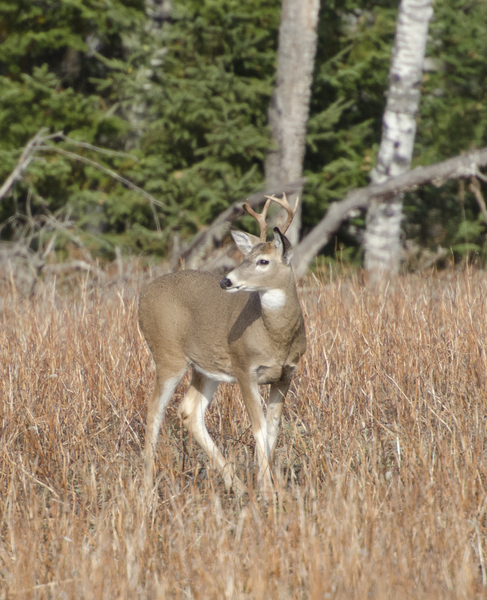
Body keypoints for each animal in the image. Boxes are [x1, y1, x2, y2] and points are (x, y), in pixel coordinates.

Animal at [138, 195, 304, 494]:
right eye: (245, 257)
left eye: (263, 261)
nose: (227, 280)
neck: (276, 338)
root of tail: (141, 296)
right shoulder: (244, 367)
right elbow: (258, 427)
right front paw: (266, 490)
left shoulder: (286, 374)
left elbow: (272, 429)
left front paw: (270, 486)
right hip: (168, 354)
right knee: (154, 408)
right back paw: (146, 487)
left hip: (204, 368)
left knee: (189, 411)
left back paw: (236, 485)